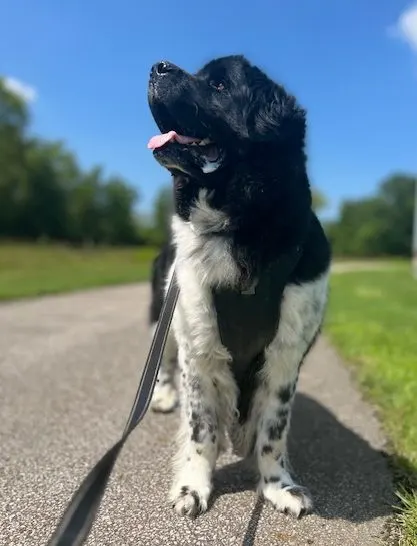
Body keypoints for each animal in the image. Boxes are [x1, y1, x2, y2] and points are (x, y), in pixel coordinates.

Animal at [146, 55, 332, 520]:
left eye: (218, 85)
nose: (157, 66)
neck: (240, 227)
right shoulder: (198, 346)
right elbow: (201, 428)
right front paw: (192, 487)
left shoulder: (284, 357)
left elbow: (272, 430)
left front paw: (279, 486)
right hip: (164, 317)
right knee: (165, 365)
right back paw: (164, 397)